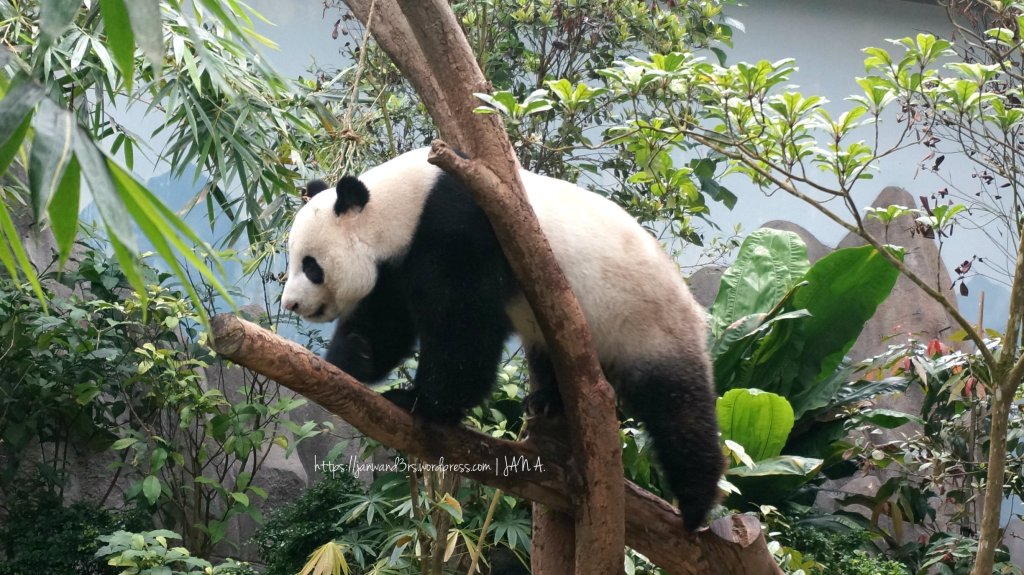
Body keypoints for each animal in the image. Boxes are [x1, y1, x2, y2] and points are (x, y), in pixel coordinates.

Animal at [282, 147, 723, 531]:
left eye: (311, 266)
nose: (291, 304)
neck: (405, 201)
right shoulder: (399, 260)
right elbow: (386, 319)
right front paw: (346, 360)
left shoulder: (460, 227)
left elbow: (462, 323)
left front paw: (420, 402)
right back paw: (547, 400)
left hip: (644, 321)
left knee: (677, 405)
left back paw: (696, 505)